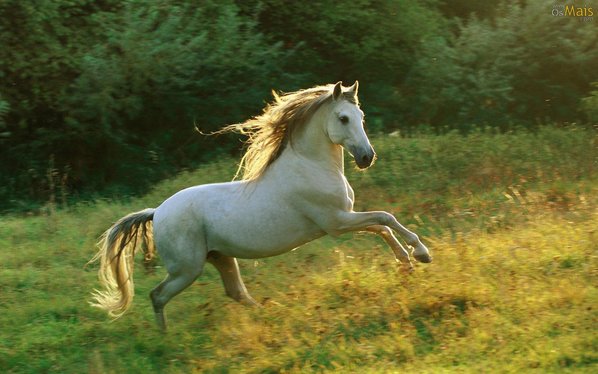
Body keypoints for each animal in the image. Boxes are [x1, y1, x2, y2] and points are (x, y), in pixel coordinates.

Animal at [90, 82, 432, 330]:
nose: (366, 157)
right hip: (186, 269)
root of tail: (157, 212)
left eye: (361, 118)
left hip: (220, 257)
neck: (311, 166)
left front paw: (407, 262)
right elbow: (385, 218)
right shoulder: (336, 222)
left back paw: (273, 314)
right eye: (343, 118)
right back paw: (165, 337)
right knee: (157, 295)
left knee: (235, 292)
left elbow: (382, 226)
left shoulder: (343, 219)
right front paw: (420, 253)